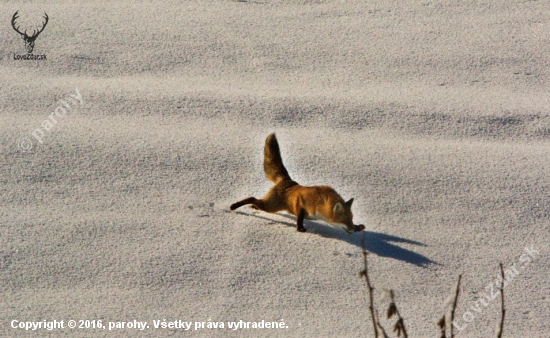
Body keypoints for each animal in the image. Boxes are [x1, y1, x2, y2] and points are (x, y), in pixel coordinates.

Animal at [231, 133, 364, 234]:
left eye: (352, 219)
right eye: (345, 220)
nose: (353, 229)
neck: (320, 204)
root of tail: (289, 181)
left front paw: (360, 227)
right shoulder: (301, 201)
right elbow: (299, 217)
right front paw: (300, 228)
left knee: (256, 201)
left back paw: (253, 207)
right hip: (272, 206)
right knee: (252, 198)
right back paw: (235, 206)